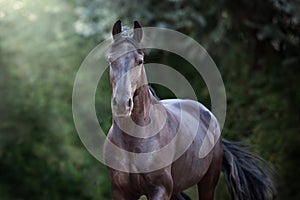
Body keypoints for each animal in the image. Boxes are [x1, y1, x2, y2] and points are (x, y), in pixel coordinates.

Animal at [103, 20, 276, 200]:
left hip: (207, 183)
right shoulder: (121, 192)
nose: (122, 103)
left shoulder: (160, 189)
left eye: (140, 61)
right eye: (110, 60)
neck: (134, 140)